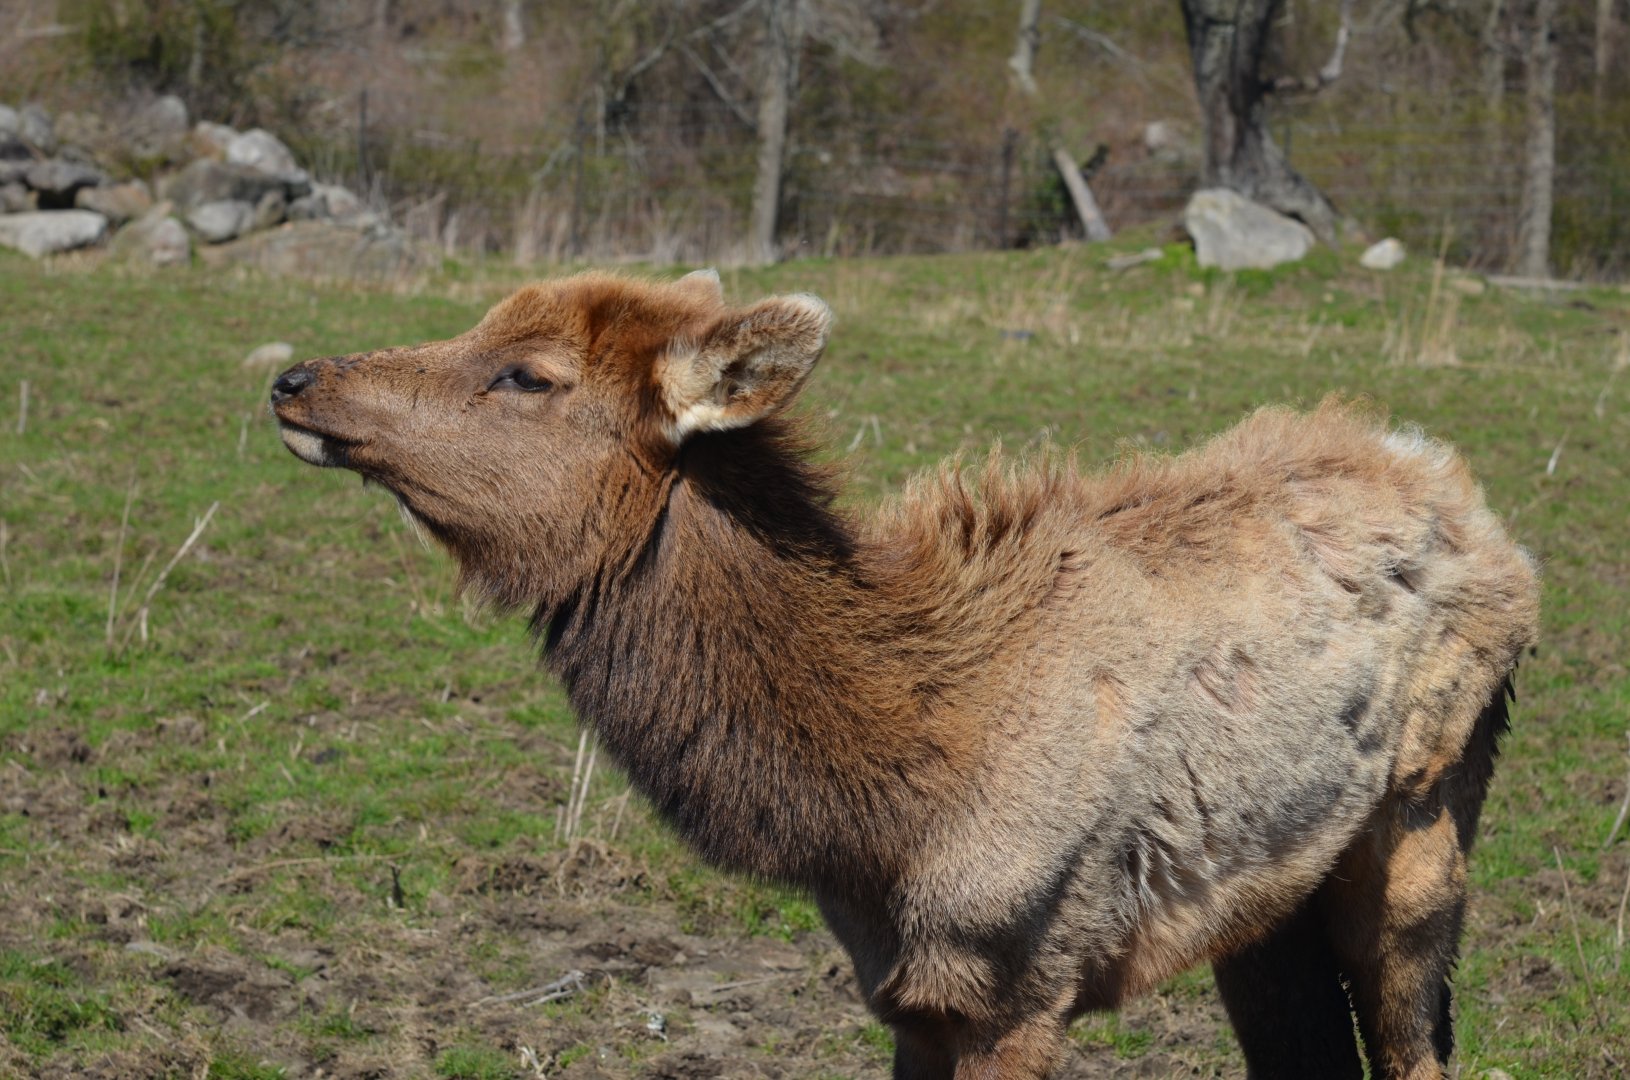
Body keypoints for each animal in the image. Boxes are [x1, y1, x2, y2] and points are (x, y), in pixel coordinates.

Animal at [271, 269, 1539, 1080]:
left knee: (1418, 1043)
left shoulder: (1024, 977)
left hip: (1430, 811)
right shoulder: (906, 988)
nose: (295, 378)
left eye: (527, 375)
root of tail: (1465, 495)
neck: (875, 803)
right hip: (1264, 888)